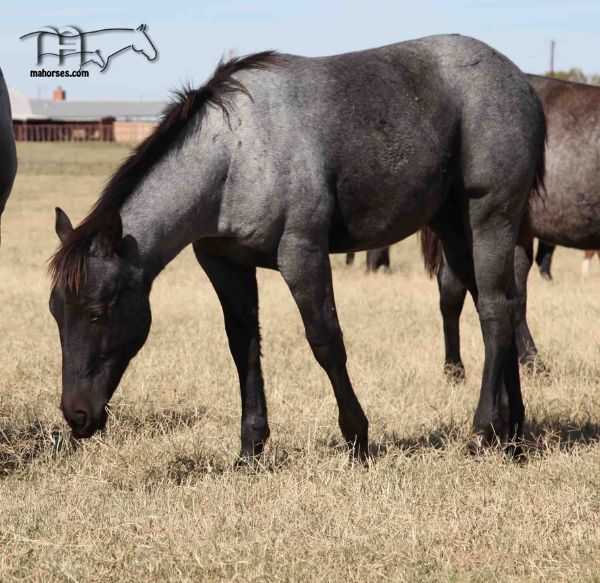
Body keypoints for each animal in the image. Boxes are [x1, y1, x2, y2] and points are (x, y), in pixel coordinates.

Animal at [51, 37, 548, 466]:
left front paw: (357, 440)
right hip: (452, 226)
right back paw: (513, 433)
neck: (235, 153)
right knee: (498, 307)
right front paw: (250, 450)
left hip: (490, 219)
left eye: (96, 313)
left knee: (495, 312)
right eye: (57, 313)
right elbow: (244, 346)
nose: (76, 415)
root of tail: (520, 82)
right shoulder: (224, 264)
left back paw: (484, 430)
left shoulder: (301, 254)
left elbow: (326, 342)